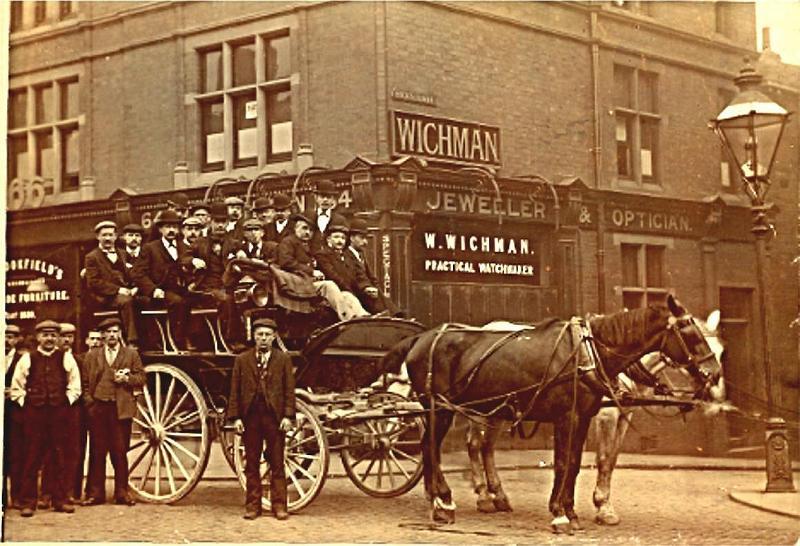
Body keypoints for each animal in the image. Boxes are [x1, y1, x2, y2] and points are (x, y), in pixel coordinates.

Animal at [382, 296, 724, 528]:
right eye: (690, 333)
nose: (715, 376)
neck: (589, 353)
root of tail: (421, 337)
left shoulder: (586, 417)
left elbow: (576, 463)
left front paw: (572, 511)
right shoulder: (572, 417)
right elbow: (568, 463)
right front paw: (565, 514)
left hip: (485, 409)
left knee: (465, 448)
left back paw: (461, 500)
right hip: (441, 408)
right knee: (436, 448)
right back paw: (446, 501)